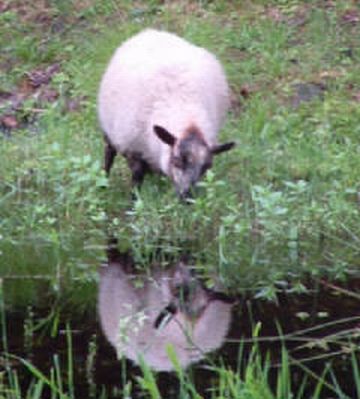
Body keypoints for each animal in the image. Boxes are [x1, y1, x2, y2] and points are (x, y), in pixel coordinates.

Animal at [97, 28, 235, 200]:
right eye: (176, 160)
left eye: (207, 166)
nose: (187, 197)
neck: (188, 120)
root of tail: (151, 32)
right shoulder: (134, 149)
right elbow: (136, 179)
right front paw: (135, 201)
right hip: (110, 129)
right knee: (109, 153)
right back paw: (103, 182)